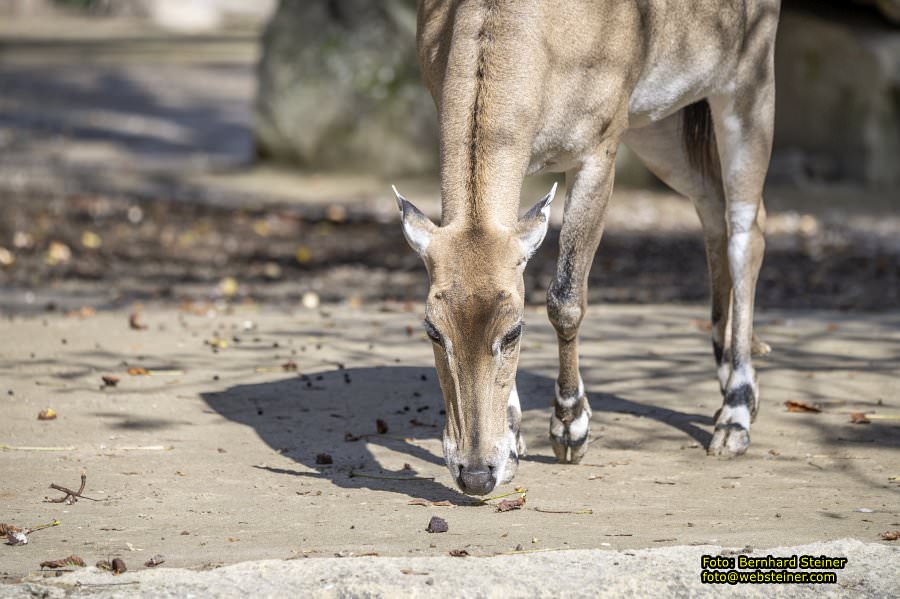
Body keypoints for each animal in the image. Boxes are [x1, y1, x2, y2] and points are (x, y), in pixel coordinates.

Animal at [396, 1, 780, 496]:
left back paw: (735, 416)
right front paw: (515, 445)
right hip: (657, 125)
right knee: (713, 205)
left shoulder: (598, 151)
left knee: (745, 229)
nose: (476, 473)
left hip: (747, 86)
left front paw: (570, 429)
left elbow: (565, 299)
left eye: (513, 333)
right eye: (432, 330)